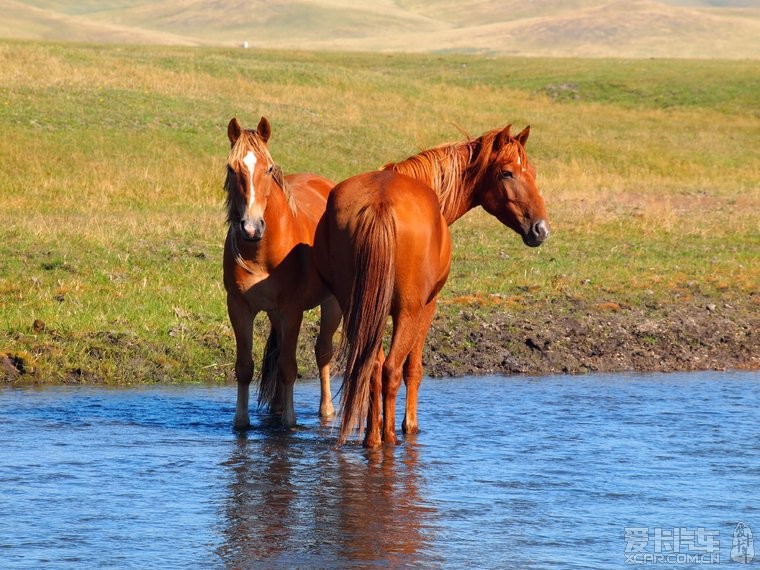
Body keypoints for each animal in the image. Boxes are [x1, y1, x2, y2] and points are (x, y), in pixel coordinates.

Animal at [224, 116, 340, 426]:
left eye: (268, 168)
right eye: (232, 168)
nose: (251, 227)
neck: (261, 254)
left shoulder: (292, 309)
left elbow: (289, 366)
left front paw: (290, 422)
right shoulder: (239, 307)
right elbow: (245, 367)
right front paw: (241, 422)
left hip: (333, 304)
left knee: (323, 352)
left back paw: (326, 411)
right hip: (275, 315)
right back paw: (276, 407)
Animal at [312, 123, 548, 444]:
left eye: (532, 171)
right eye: (507, 173)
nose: (540, 229)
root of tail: (380, 203)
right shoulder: (427, 307)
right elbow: (413, 370)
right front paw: (410, 426)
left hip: (357, 309)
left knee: (372, 367)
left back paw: (372, 439)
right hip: (408, 312)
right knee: (391, 370)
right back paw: (389, 437)